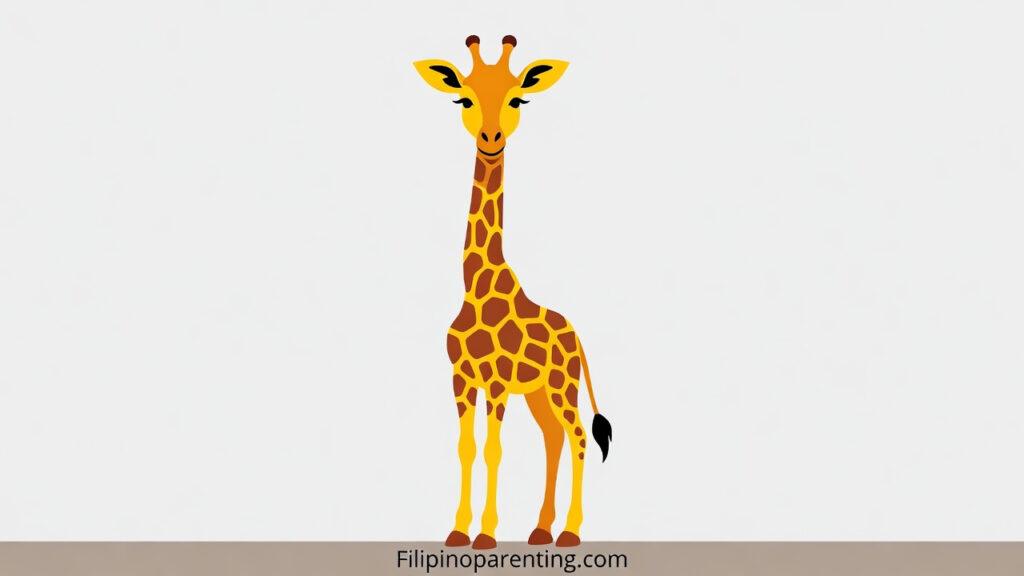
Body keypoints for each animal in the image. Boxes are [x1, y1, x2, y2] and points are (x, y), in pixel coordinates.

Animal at [414, 35, 613, 549]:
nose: (491, 139)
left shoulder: (498, 382)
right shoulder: (462, 378)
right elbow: (466, 447)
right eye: (463, 99)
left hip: (561, 385)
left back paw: (570, 532)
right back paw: (541, 529)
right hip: (540, 393)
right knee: (553, 438)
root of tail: (576, 337)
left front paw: (485, 535)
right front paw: (457, 531)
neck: (474, 285)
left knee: (578, 436)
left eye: (517, 99)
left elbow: (493, 449)